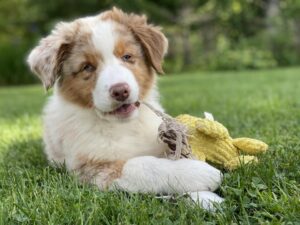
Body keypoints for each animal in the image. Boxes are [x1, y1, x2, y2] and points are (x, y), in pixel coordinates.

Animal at [27, 7, 223, 209]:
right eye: (87, 67)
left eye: (127, 57)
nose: (120, 91)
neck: (124, 125)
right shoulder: (91, 169)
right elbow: (140, 165)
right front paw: (199, 173)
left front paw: (206, 198)